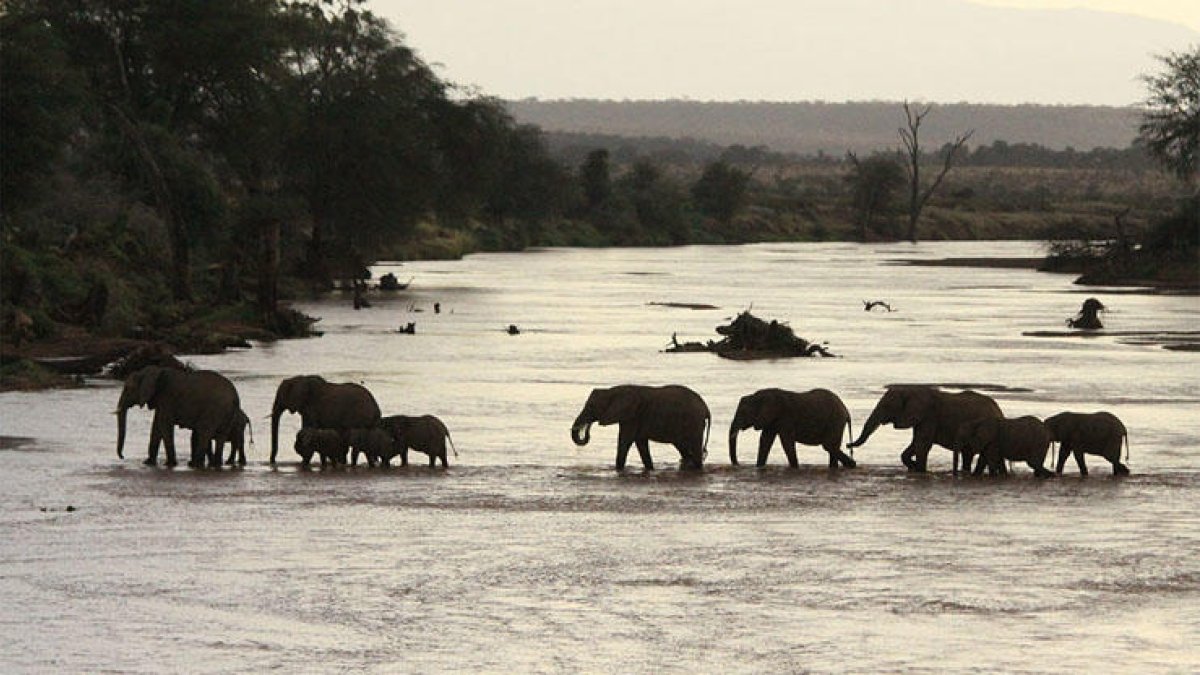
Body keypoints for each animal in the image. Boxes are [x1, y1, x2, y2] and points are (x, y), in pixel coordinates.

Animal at [570, 384, 711, 470]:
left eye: (591, 406)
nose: (586, 431)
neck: (612, 390)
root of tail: (706, 408)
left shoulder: (632, 416)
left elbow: (625, 441)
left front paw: (618, 470)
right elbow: (641, 443)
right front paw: (650, 469)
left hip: (694, 423)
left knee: (694, 448)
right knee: (682, 447)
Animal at [847, 385, 1003, 473]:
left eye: (886, 406)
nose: (848, 445)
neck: (911, 390)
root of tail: (999, 410)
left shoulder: (929, 416)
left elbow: (922, 444)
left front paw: (920, 470)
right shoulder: (920, 418)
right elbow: (915, 444)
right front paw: (914, 467)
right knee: (967, 454)